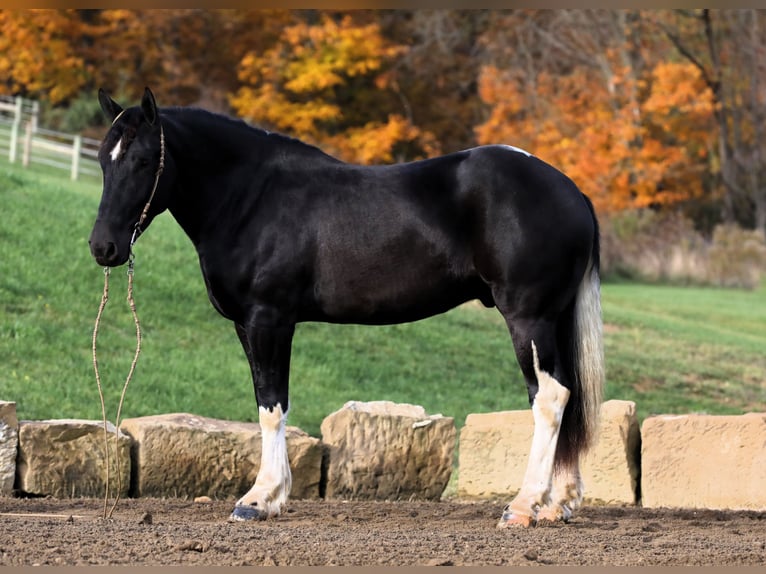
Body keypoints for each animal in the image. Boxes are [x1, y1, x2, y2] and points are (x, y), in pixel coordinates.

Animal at [90, 88, 608, 528]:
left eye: (142, 160)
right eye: (102, 160)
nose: (103, 247)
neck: (251, 197)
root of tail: (571, 191)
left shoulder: (268, 320)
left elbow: (271, 406)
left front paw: (260, 500)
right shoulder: (248, 325)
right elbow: (266, 401)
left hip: (528, 318)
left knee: (549, 398)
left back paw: (522, 506)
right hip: (553, 320)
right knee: (567, 394)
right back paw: (557, 505)